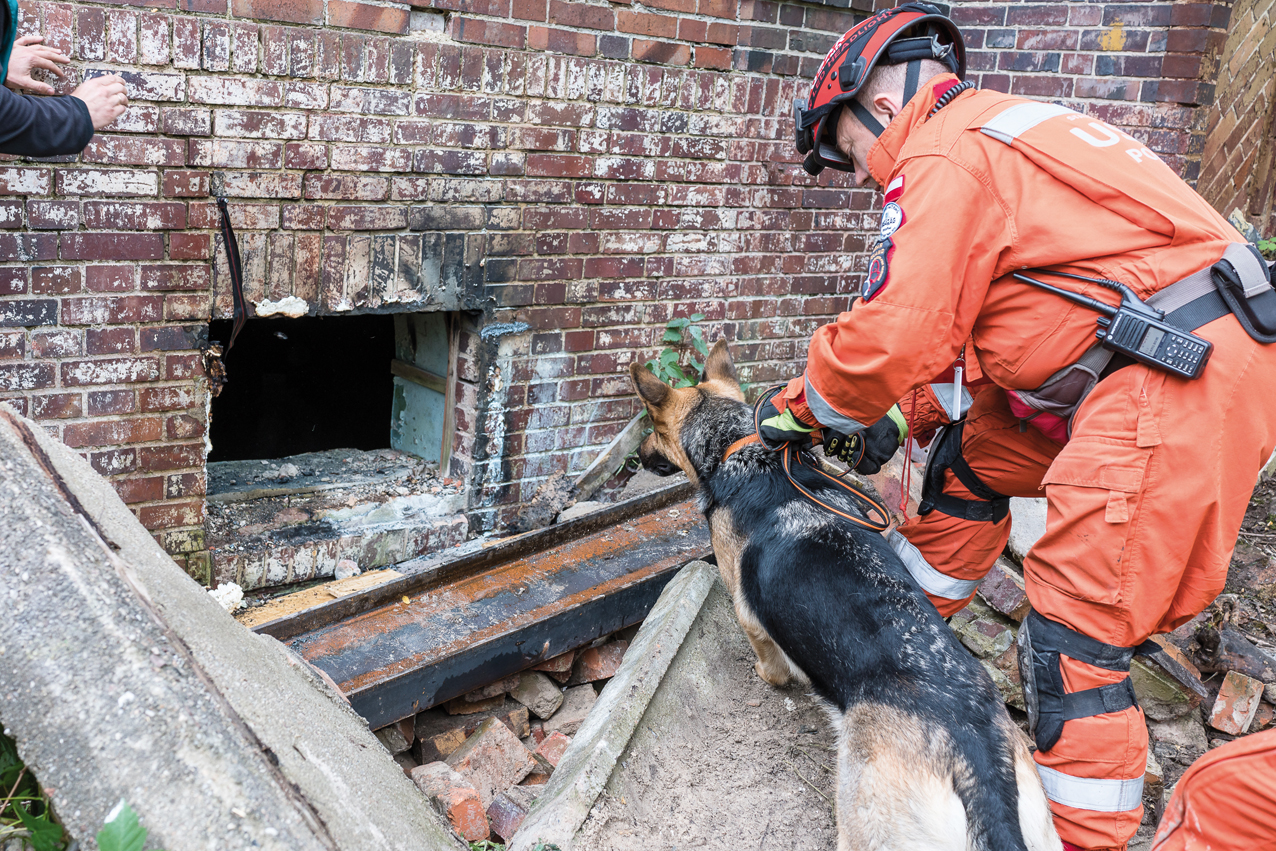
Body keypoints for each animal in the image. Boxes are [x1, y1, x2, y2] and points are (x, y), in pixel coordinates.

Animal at [625, 341, 1056, 851]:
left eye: (653, 428)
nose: (637, 457)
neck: (742, 446)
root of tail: (979, 769)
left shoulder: (748, 615)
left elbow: (770, 660)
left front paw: (768, 676)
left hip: (864, 823)